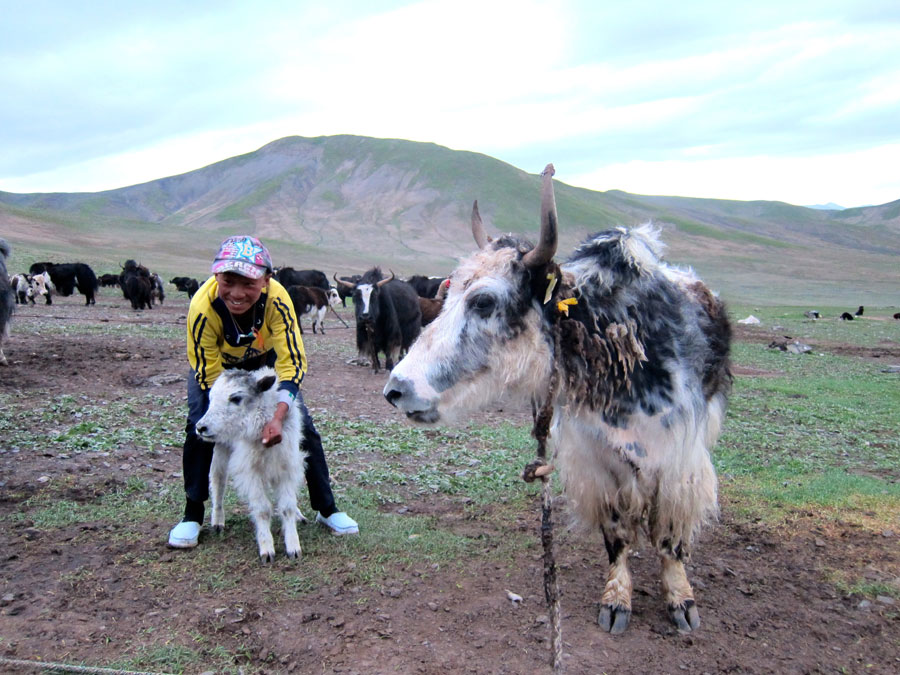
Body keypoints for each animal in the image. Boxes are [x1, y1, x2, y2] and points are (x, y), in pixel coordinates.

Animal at [195, 368, 308, 564]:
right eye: (211, 398)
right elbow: (262, 510)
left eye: (236, 398)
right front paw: (267, 550)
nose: (200, 427)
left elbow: (287, 507)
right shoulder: (250, 471)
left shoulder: (286, 467)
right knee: (218, 480)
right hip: (221, 447)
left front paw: (294, 548)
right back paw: (218, 521)